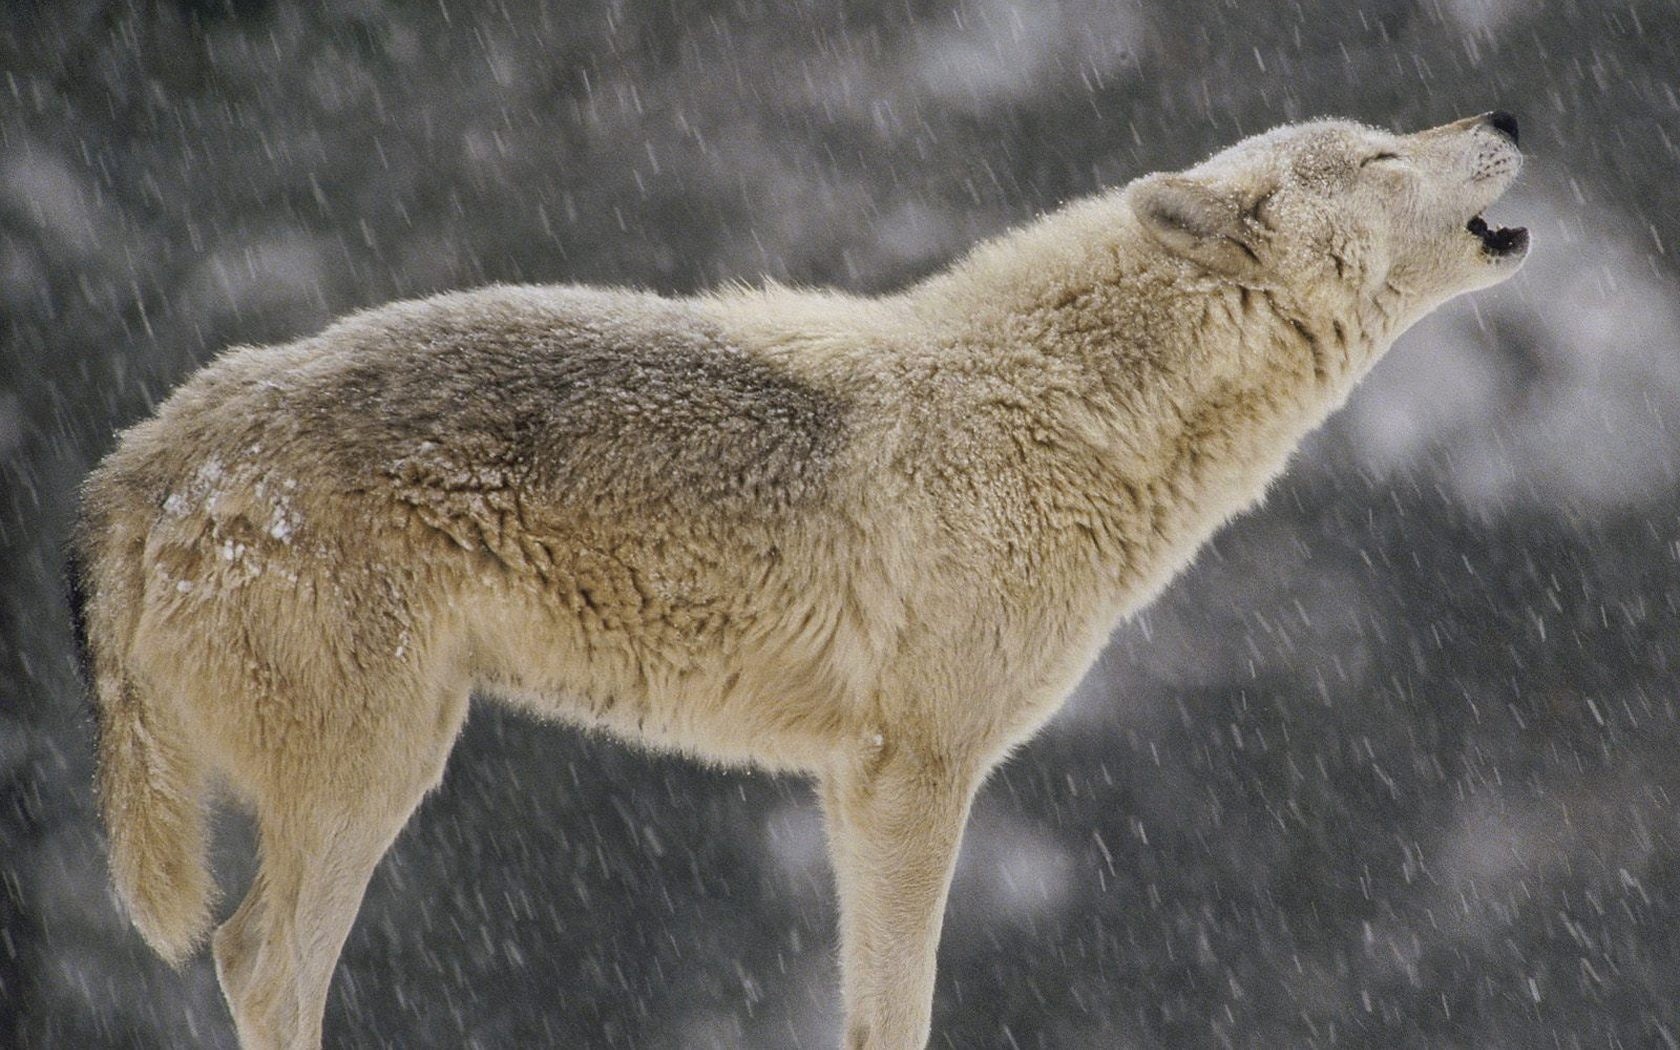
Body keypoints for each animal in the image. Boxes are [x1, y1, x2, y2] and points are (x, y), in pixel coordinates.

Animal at [71, 112, 1528, 1049]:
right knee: (261, 962)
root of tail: (150, 454)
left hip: (395, 758)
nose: (1506, 110)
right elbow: (902, 1011)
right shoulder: (917, 774)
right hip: (373, 775)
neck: (1063, 410)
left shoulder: (851, 781)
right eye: (1383, 150)